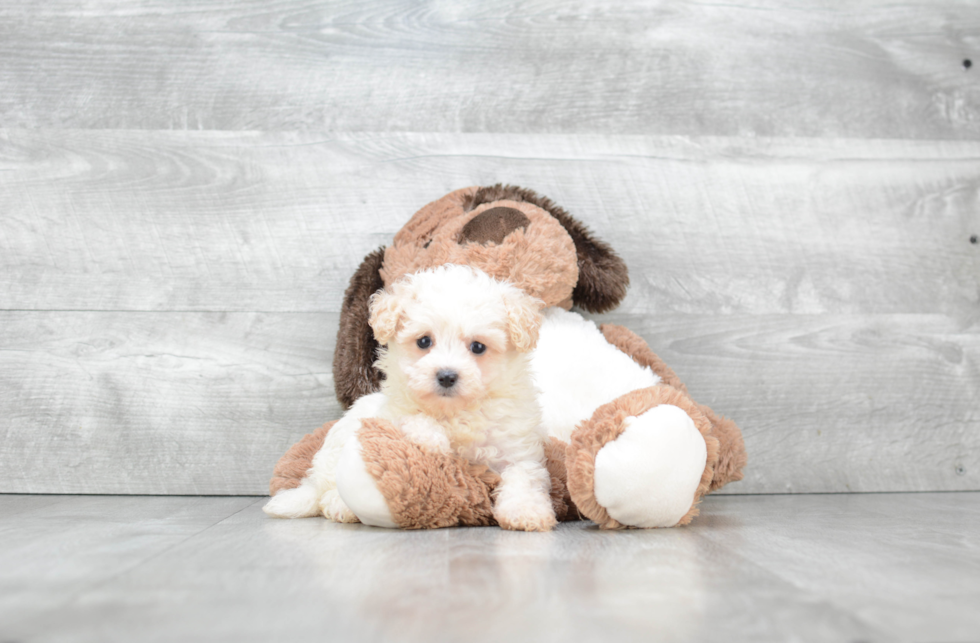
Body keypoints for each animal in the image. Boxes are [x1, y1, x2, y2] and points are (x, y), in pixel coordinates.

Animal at [264, 266, 556, 532]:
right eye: (424, 341)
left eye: (478, 347)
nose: (446, 376)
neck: (455, 412)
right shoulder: (391, 413)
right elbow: (413, 418)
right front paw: (435, 440)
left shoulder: (516, 447)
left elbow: (523, 477)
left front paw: (525, 511)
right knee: (328, 491)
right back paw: (340, 505)